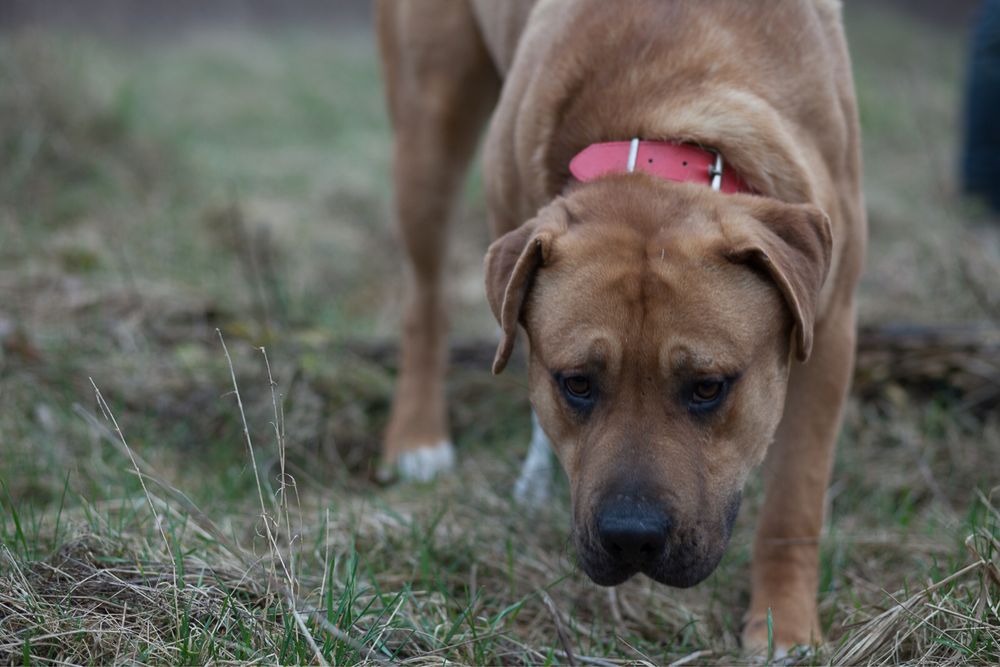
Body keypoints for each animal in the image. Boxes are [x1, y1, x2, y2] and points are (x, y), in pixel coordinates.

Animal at [376, 0, 868, 648]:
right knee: (424, 301)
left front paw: (782, 627)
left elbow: (796, 499)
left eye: (708, 387)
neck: (658, 122)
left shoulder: (829, 325)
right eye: (577, 384)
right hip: (429, 125)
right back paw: (419, 439)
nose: (632, 537)